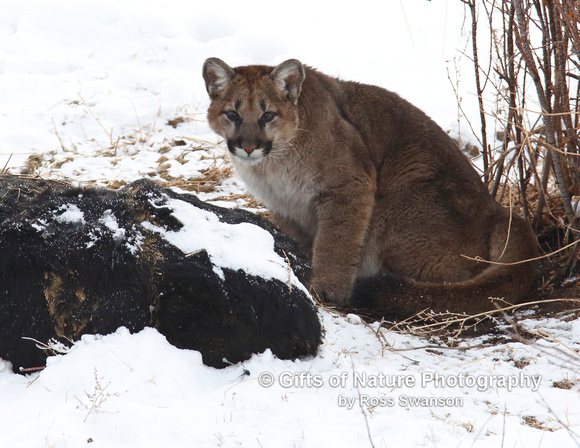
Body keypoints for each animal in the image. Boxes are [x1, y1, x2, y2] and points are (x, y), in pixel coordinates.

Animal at [204, 57, 540, 316]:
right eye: (233, 114)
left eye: (268, 115)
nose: (248, 147)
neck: (272, 166)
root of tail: (500, 210)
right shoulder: (283, 206)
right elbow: (299, 238)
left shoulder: (350, 185)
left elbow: (335, 243)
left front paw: (328, 290)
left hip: (400, 197)